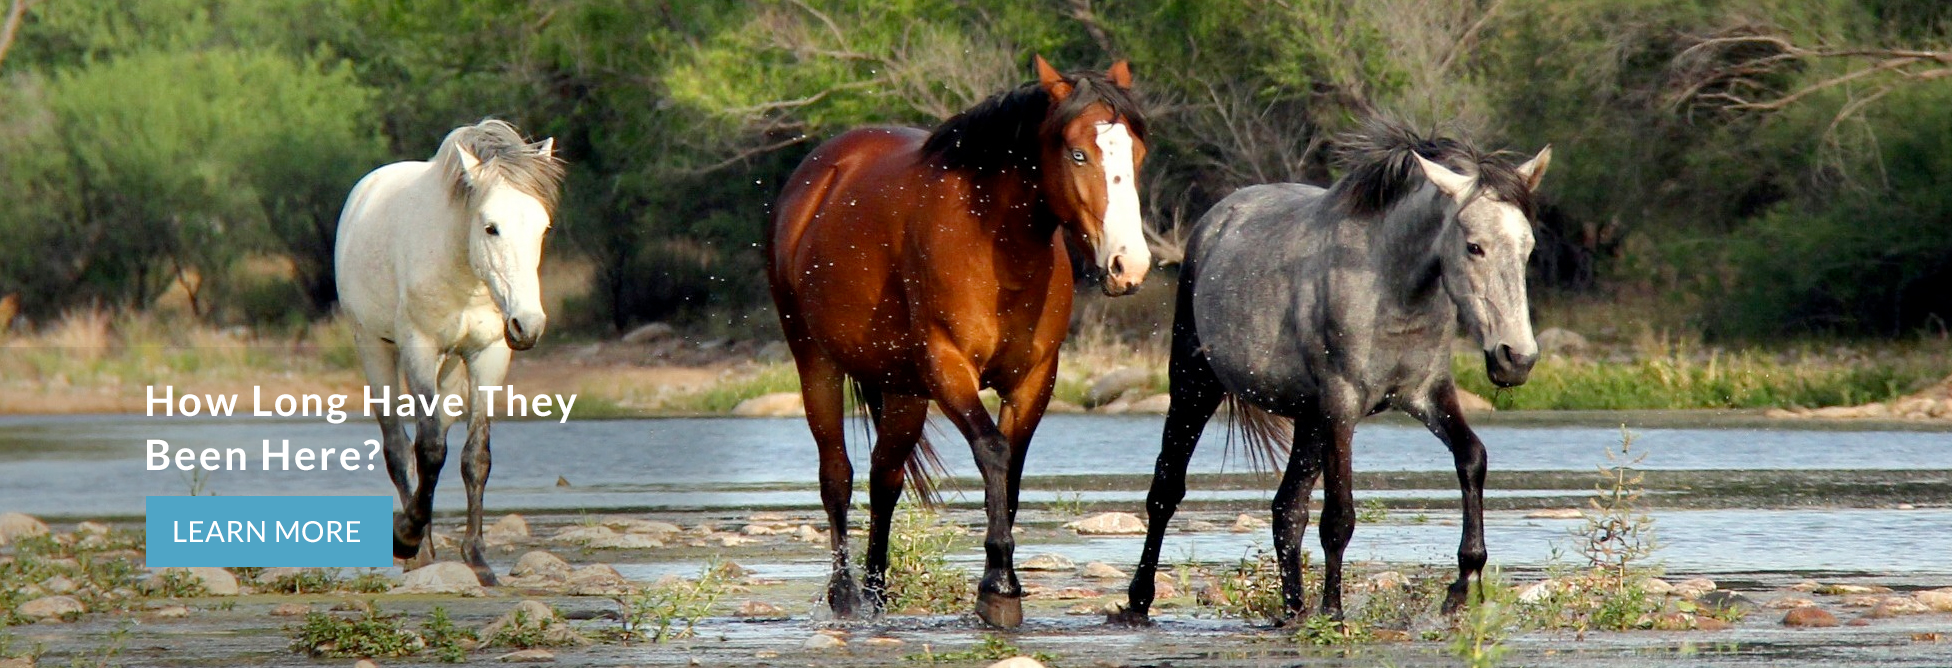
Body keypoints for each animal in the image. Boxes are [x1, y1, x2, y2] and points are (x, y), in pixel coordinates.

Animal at [333, 120, 562, 585]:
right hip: (375, 349)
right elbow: (429, 450)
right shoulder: (420, 349)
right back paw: (418, 549)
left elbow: (476, 456)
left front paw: (478, 559)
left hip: (454, 372)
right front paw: (408, 536)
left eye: (542, 229)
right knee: (399, 447)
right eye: (491, 227)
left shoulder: (489, 356)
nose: (528, 325)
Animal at [769, 57, 1147, 625]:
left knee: (885, 477)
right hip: (816, 363)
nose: (1130, 266)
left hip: (902, 388)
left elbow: (1011, 467)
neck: (995, 244)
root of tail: (818, 176)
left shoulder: (1035, 379)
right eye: (1078, 153)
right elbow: (992, 450)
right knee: (837, 474)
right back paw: (847, 596)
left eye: (1137, 154)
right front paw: (998, 587)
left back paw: (878, 594)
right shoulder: (949, 368)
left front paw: (1003, 581)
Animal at [1124, 116, 1545, 625]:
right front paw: (1334, 611)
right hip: (1195, 384)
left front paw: (1463, 583)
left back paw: (1293, 611)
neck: (1392, 286)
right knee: (1166, 490)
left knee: (1287, 510)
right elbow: (1339, 516)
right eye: (1474, 247)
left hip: (1308, 419)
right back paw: (1138, 601)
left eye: (1527, 247)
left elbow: (1472, 458)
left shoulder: (1427, 394)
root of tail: (1216, 220)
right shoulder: (1343, 406)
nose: (1516, 358)